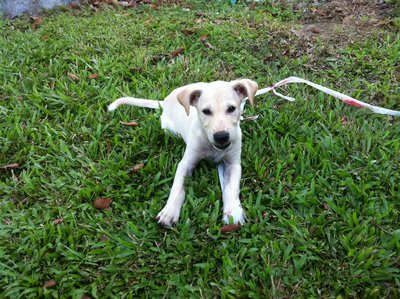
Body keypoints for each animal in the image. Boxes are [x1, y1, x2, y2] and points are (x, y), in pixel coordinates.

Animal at [109, 79, 258, 227]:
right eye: (206, 111)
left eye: (231, 108)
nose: (221, 137)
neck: (211, 146)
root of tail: (166, 101)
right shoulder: (186, 163)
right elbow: (177, 188)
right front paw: (169, 212)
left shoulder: (233, 163)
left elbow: (231, 188)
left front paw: (233, 212)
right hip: (169, 129)